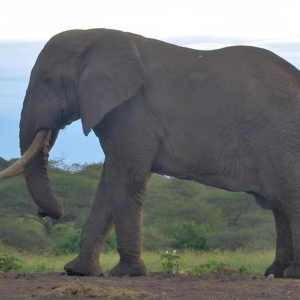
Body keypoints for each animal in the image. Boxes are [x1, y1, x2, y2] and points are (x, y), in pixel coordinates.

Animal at [0, 28, 300, 278]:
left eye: (47, 80)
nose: (46, 213)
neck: (96, 37)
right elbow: (109, 183)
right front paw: (78, 272)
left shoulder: (132, 111)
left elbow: (126, 178)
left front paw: (126, 273)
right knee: (279, 205)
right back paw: (276, 272)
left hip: (280, 139)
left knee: (289, 198)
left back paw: (291, 274)